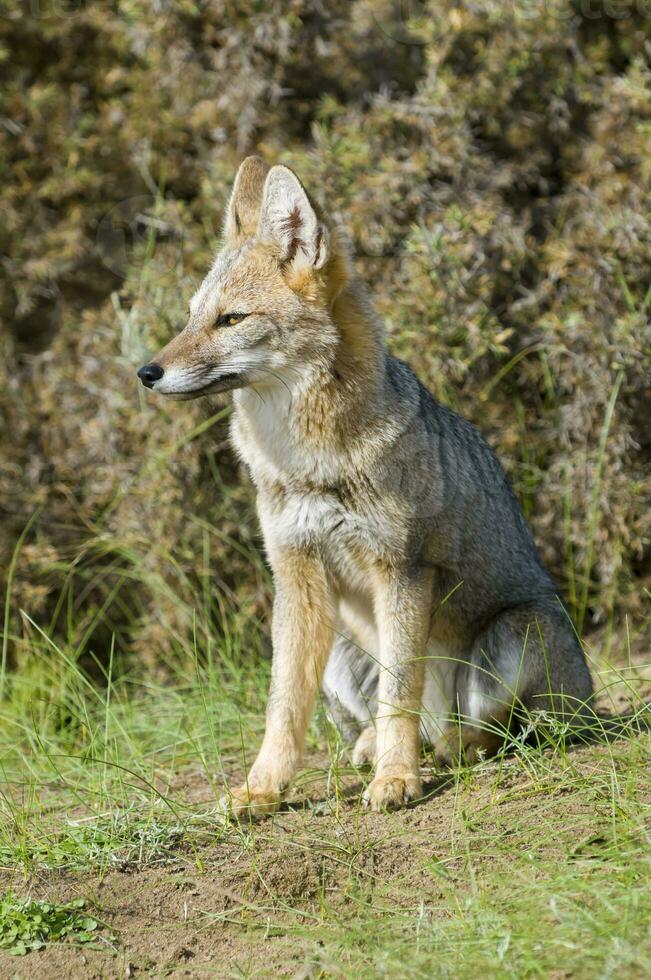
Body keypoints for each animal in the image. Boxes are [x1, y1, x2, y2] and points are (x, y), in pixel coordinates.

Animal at [139, 157, 596, 816]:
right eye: (192, 317)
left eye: (231, 320)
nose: (145, 372)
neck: (306, 462)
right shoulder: (296, 575)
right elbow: (283, 707)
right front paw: (262, 788)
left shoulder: (401, 568)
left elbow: (399, 691)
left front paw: (397, 779)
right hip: (340, 649)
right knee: (390, 720)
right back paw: (374, 749)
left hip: (512, 639)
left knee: (488, 733)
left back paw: (440, 751)